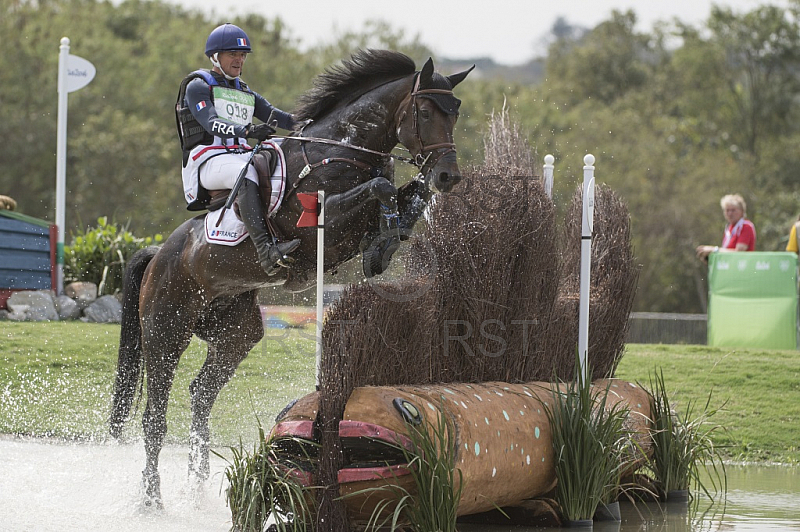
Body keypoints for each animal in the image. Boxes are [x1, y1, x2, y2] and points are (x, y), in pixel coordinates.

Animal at [106, 50, 468, 508]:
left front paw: (384, 245)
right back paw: (153, 500)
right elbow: (382, 187)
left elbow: (409, 197)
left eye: (454, 113)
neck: (344, 147)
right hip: (165, 332)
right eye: (424, 112)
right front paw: (382, 240)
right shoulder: (319, 222)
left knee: (201, 394)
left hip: (236, 334)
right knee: (155, 417)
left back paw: (199, 485)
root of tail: (159, 255)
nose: (449, 176)